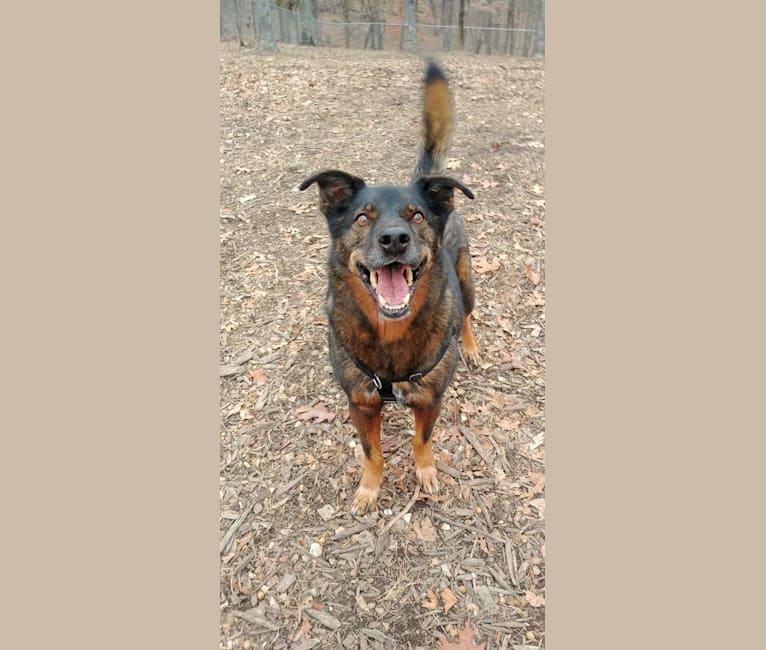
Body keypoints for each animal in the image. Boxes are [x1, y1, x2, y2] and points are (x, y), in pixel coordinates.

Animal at [300, 62, 480, 512]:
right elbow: (372, 453)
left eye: (416, 216)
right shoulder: (361, 403)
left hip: (466, 278)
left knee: (467, 313)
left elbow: (422, 441)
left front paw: (426, 473)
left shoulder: (430, 400)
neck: (390, 334)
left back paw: (469, 345)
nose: (394, 239)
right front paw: (369, 489)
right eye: (362, 218)